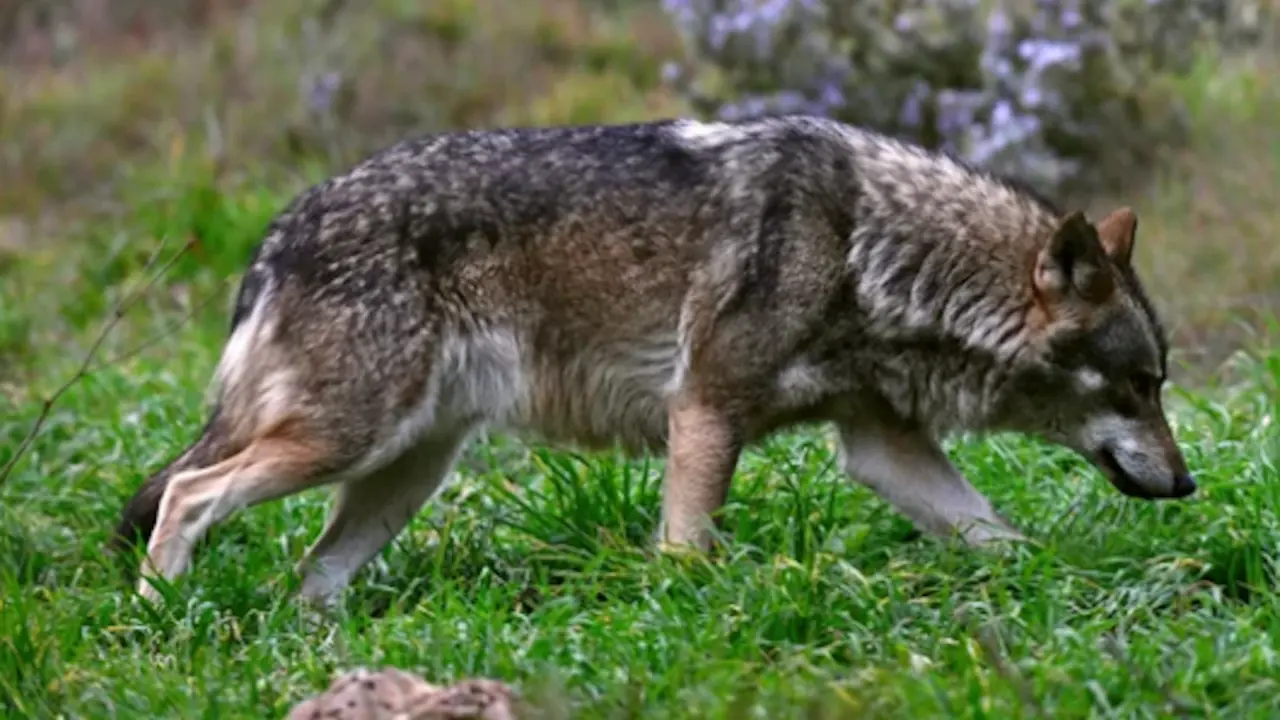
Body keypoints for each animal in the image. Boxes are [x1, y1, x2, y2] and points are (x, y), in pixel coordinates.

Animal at [112, 115, 1195, 605]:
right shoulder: (705, 409)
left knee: (309, 575)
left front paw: (1084, 584)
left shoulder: (880, 447)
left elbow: (1004, 537)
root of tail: (280, 230)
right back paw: (169, 617)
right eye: (1139, 386)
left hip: (401, 475)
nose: (1188, 486)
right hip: (345, 443)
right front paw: (687, 610)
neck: (870, 248)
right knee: (188, 496)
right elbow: (686, 549)